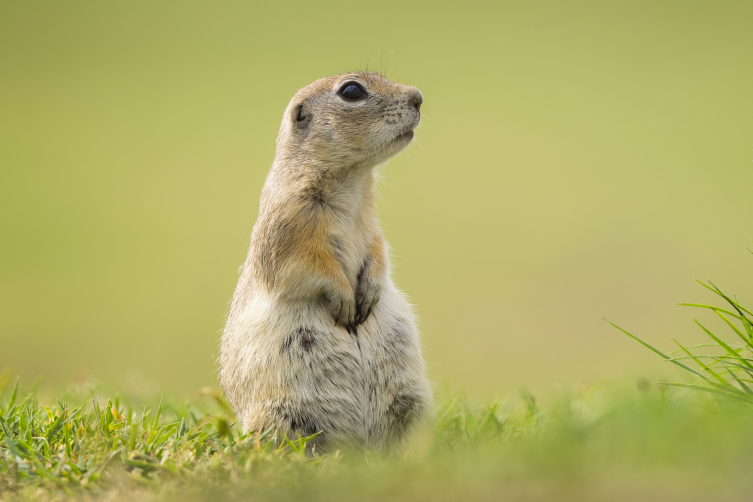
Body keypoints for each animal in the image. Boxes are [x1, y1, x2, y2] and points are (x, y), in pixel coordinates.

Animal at [219, 70, 428, 452]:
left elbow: (379, 253)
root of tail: (360, 448)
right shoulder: (290, 227)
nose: (418, 97)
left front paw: (369, 292)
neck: (354, 182)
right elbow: (309, 267)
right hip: (280, 417)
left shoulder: (372, 227)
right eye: (352, 91)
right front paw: (345, 303)